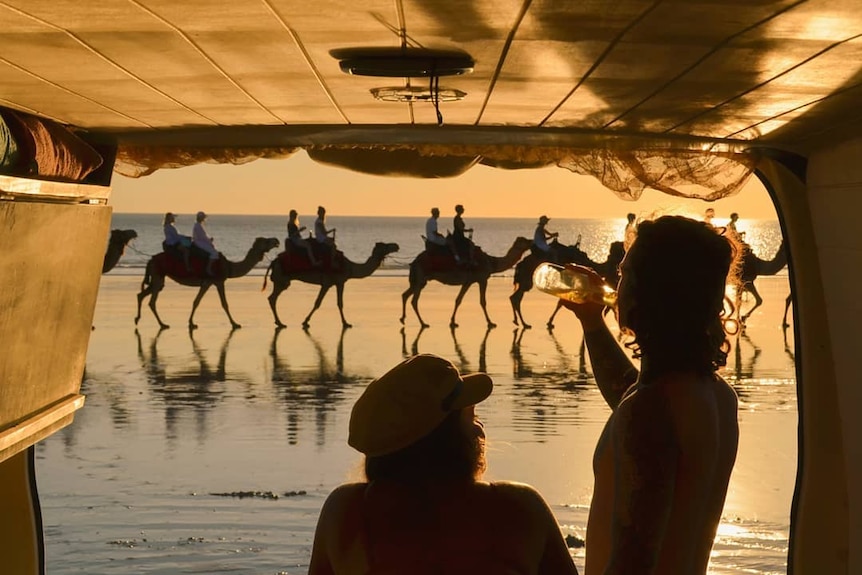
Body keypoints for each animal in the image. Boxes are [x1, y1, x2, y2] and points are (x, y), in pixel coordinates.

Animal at [134, 236, 280, 330]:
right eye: (266, 240)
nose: (276, 240)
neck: (229, 266)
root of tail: (150, 260)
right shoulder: (215, 281)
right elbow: (222, 303)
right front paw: (235, 324)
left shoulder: (209, 282)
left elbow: (197, 301)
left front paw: (191, 323)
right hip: (158, 275)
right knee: (152, 301)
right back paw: (162, 324)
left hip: (158, 278)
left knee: (141, 295)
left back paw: (138, 319)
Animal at [264, 241, 402, 328]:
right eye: (385, 245)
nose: (396, 245)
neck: (350, 267)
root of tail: (274, 262)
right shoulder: (327, 283)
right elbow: (318, 303)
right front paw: (305, 322)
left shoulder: (339, 282)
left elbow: (339, 303)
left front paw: (346, 323)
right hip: (282, 280)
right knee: (272, 298)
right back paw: (280, 323)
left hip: (281, 280)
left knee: (272, 298)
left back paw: (279, 322)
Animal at [404, 237, 536, 328]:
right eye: (525, 241)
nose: (532, 241)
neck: (491, 262)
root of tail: (414, 261)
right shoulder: (482, 279)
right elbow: (483, 301)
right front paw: (491, 323)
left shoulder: (468, 281)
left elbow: (458, 300)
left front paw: (453, 322)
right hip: (420, 277)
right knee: (414, 300)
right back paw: (423, 323)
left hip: (419, 280)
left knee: (405, 295)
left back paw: (403, 319)